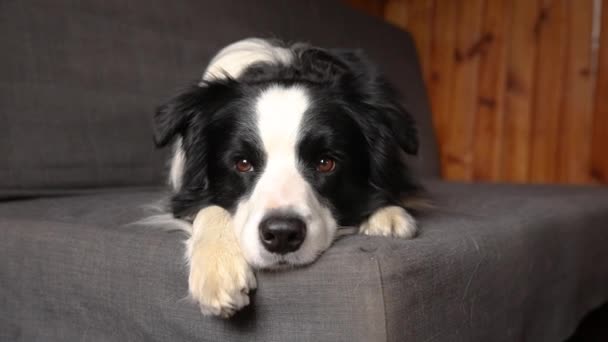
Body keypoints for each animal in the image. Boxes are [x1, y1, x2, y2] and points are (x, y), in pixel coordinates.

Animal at [152, 38, 420, 318]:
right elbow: (208, 208)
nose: (281, 235)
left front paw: (388, 214)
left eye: (325, 163)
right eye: (243, 163)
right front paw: (218, 270)